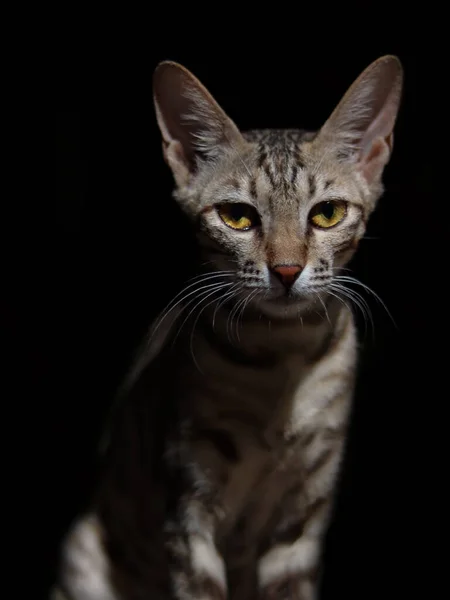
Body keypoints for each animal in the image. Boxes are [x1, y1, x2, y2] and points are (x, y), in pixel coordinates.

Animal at [51, 56, 404, 600]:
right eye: (237, 216)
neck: (281, 362)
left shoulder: (302, 519)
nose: (286, 270)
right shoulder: (189, 508)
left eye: (327, 213)